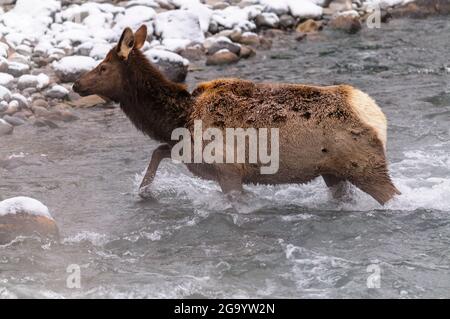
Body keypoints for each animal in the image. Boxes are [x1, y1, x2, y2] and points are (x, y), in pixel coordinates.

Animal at [73, 24, 400, 205]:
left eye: (103, 67)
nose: (76, 84)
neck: (179, 119)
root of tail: (378, 117)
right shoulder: (190, 152)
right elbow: (158, 151)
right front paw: (143, 191)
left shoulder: (228, 169)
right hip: (333, 173)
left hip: (364, 166)